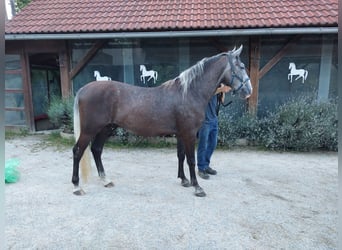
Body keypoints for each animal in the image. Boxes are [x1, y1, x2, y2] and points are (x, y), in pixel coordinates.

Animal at [72, 45, 252, 197]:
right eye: (241, 67)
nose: (248, 91)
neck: (189, 92)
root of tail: (83, 89)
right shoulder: (189, 134)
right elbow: (191, 160)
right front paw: (197, 187)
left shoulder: (181, 134)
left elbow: (181, 156)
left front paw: (184, 180)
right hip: (89, 130)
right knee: (78, 151)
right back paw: (76, 186)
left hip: (106, 128)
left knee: (96, 150)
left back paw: (106, 180)